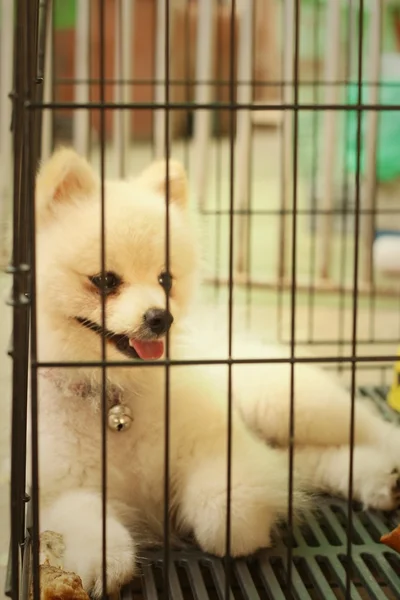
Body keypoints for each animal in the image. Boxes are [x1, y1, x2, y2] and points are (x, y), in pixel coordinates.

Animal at [32, 149, 400, 596]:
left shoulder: (217, 444)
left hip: (286, 403)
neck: (111, 394)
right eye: (104, 280)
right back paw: (378, 478)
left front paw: (233, 531)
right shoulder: (54, 487)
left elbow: (227, 510)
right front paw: (103, 562)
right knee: (310, 458)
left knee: (367, 427)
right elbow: (82, 523)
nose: (159, 317)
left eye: (165, 279)